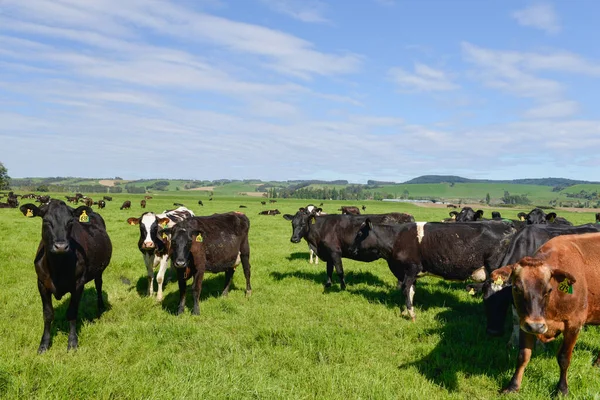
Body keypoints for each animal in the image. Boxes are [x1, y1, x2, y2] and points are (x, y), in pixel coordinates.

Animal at [18, 202, 111, 352]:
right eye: (46, 221)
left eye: (70, 221)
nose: (61, 246)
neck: (58, 266)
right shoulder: (41, 284)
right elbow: (48, 314)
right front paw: (44, 344)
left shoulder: (78, 284)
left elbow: (72, 312)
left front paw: (72, 342)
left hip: (99, 270)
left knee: (98, 284)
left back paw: (100, 306)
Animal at [282, 208, 418, 290]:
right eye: (293, 224)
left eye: (303, 224)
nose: (294, 239)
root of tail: (408, 216)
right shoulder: (328, 253)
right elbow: (329, 270)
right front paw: (328, 284)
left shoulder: (335, 252)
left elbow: (340, 271)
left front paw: (343, 287)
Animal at [346, 220, 516, 320]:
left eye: (360, 233)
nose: (351, 249)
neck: (395, 240)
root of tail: (507, 225)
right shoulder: (408, 273)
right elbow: (411, 291)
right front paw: (405, 311)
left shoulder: (411, 268)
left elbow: (405, 289)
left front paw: (411, 314)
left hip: (495, 267)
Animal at [492, 233, 600, 396]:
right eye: (516, 288)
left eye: (548, 290)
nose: (537, 326)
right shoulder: (526, 323)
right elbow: (523, 355)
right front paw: (513, 386)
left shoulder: (574, 324)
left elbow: (564, 358)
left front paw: (562, 389)